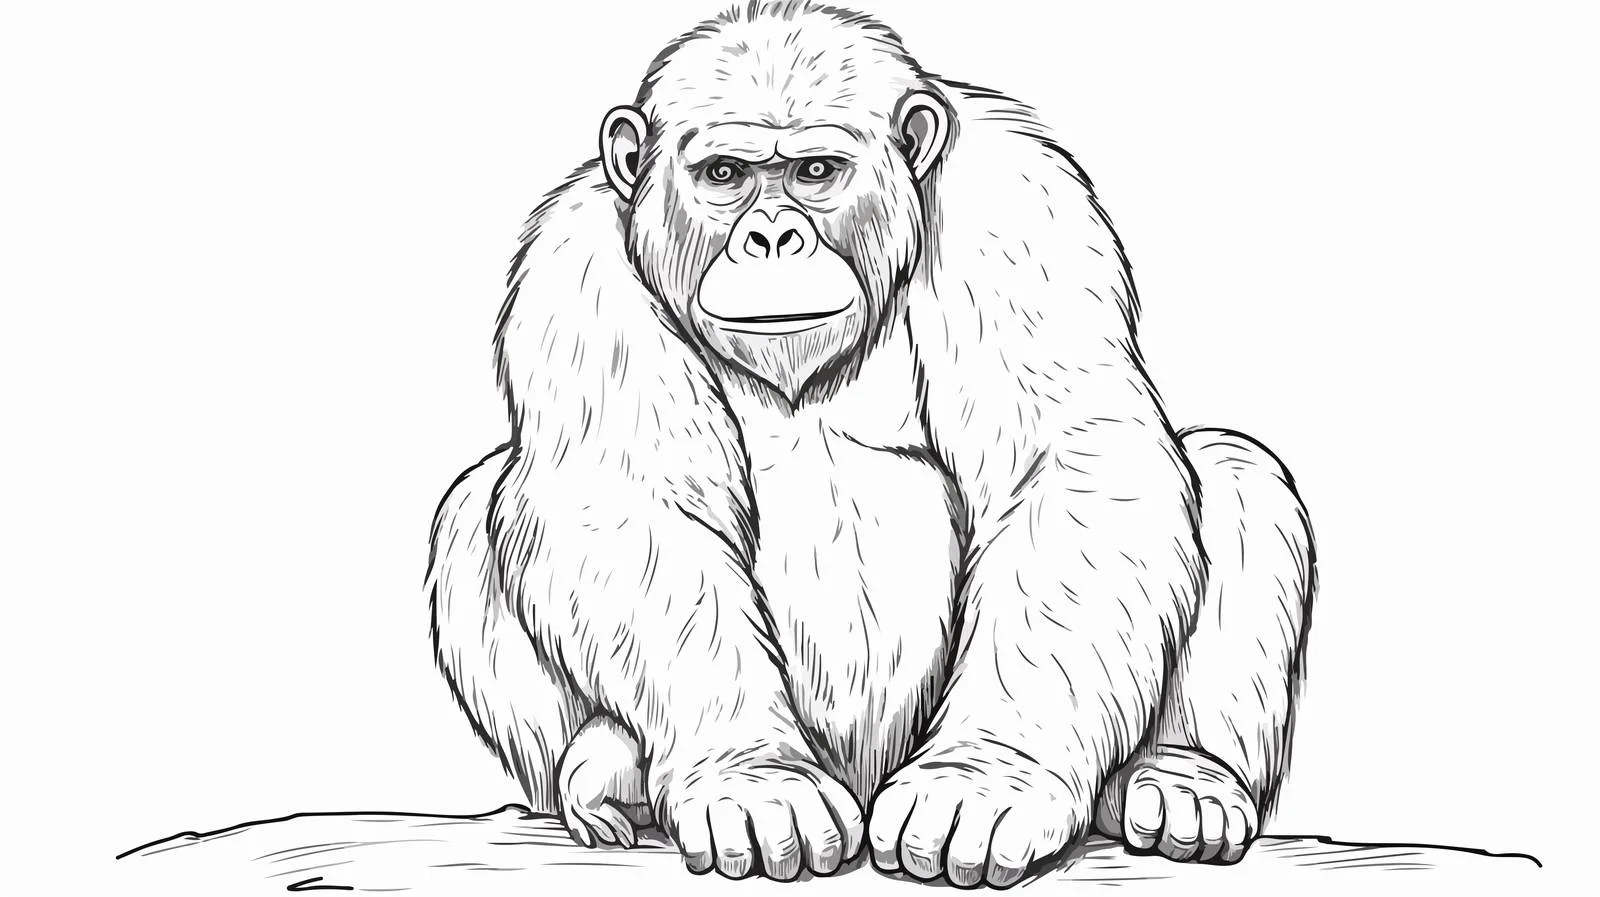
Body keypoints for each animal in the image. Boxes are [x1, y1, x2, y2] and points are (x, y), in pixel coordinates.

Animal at [427, 1, 1314, 888]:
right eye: (724, 175)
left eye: (817, 171)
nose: (771, 238)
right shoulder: (573, 271)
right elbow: (624, 502)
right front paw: (753, 776)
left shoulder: (1021, 206)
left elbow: (1067, 459)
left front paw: (985, 781)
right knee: (470, 507)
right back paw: (613, 767)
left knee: (1239, 470)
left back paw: (1177, 777)